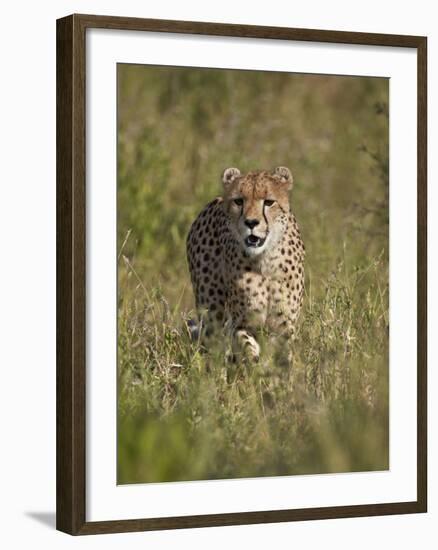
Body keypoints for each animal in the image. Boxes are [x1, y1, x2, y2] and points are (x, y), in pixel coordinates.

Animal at [186, 167, 306, 366]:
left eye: (269, 202)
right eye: (239, 201)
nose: (251, 222)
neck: (264, 261)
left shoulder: (283, 327)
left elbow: (284, 357)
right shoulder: (241, 323)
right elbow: (247, 345)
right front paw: (254, 362)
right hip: (211, 311)